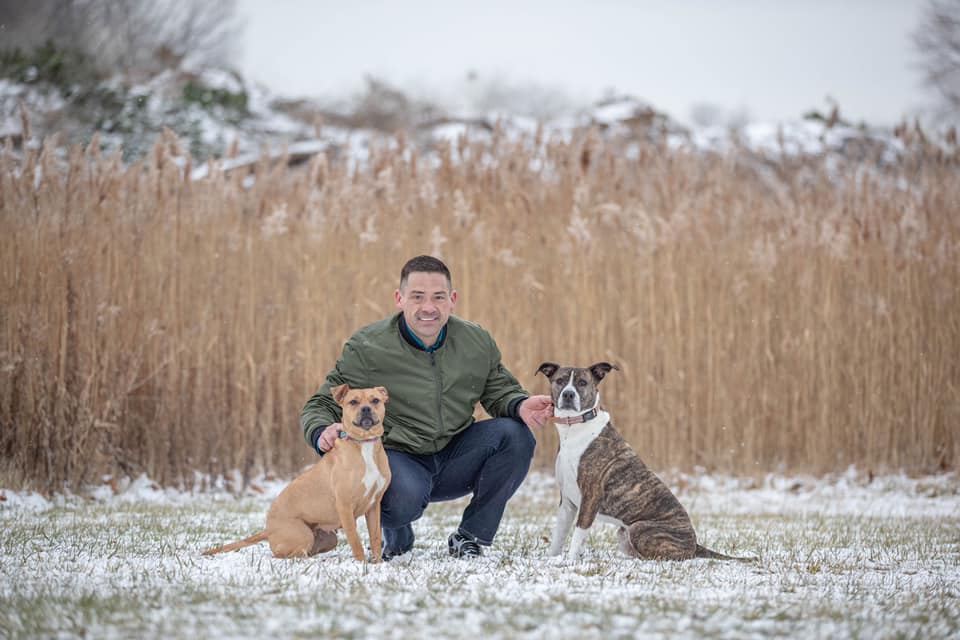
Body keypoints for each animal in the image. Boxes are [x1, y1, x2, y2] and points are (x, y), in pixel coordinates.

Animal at [202, 384, 390, 560]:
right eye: (353, 402)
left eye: (375, 400)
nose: (366, 409)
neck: (364, 444)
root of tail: (268, 529)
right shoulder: (344, 506)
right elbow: (355, 540)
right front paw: (361, 564)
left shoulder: (374, 505)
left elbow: (375, 538)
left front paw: (377, 563)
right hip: (303, 535)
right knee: (282, 555)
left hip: (328, 539)